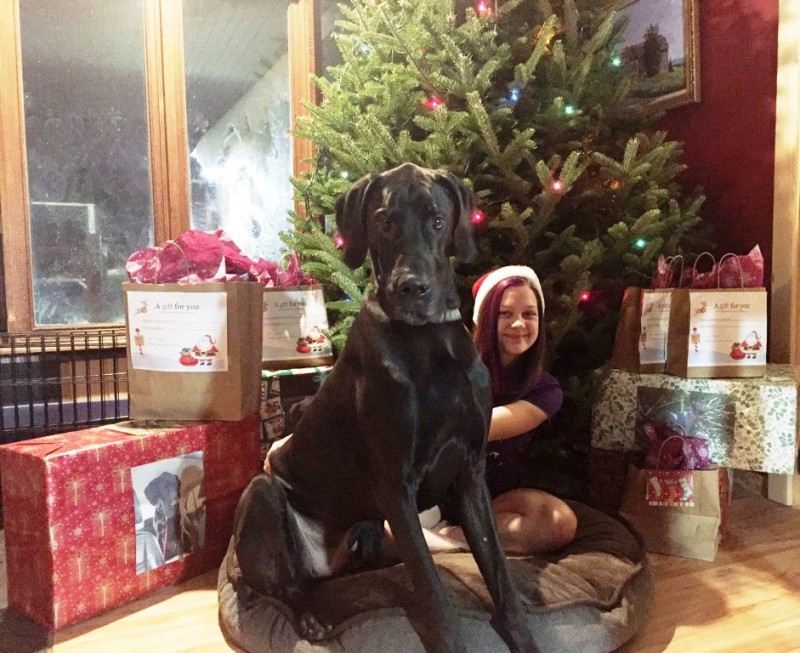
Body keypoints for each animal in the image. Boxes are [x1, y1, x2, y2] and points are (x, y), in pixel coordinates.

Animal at [230, 163, 538, 653]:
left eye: (437, 220)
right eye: (385, 222)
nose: (412, 288)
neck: (428, 339)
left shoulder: (470, 472)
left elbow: (499, 570)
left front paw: (522, 632)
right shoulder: (396, 485)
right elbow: (431, 588)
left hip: (369, 530)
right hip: (264, 494)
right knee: (278, 586)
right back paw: (310, 619)